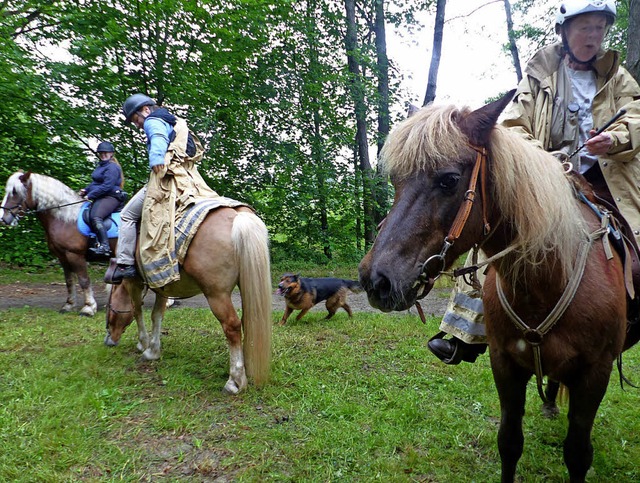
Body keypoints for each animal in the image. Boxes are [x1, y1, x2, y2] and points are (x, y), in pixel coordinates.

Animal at [0, 173, 114, 318]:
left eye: (15, 192)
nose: (3, 218)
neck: (66, 219)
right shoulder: (63, 256)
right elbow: (69, 281)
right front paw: (69, 305)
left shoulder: (75, 255)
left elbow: (84, 280)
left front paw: (88, 308)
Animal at [106, 206, 272, 396]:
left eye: (109, 307)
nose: (109, 340)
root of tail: (238, 217)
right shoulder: (162, 284)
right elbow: (157, 315)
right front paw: (153, 350)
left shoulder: (133, 282)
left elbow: (137, 312)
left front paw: (143, 344)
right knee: (248, 321)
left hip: (217, 295)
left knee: (232, 327)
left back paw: (235, 381)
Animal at [358, 92, 636, 482]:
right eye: (397, 180)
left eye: (449, 180)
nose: (376, 280)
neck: (547, 281)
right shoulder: (504, 363)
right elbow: (509, 442)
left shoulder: (595, 373)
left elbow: (578, 453)